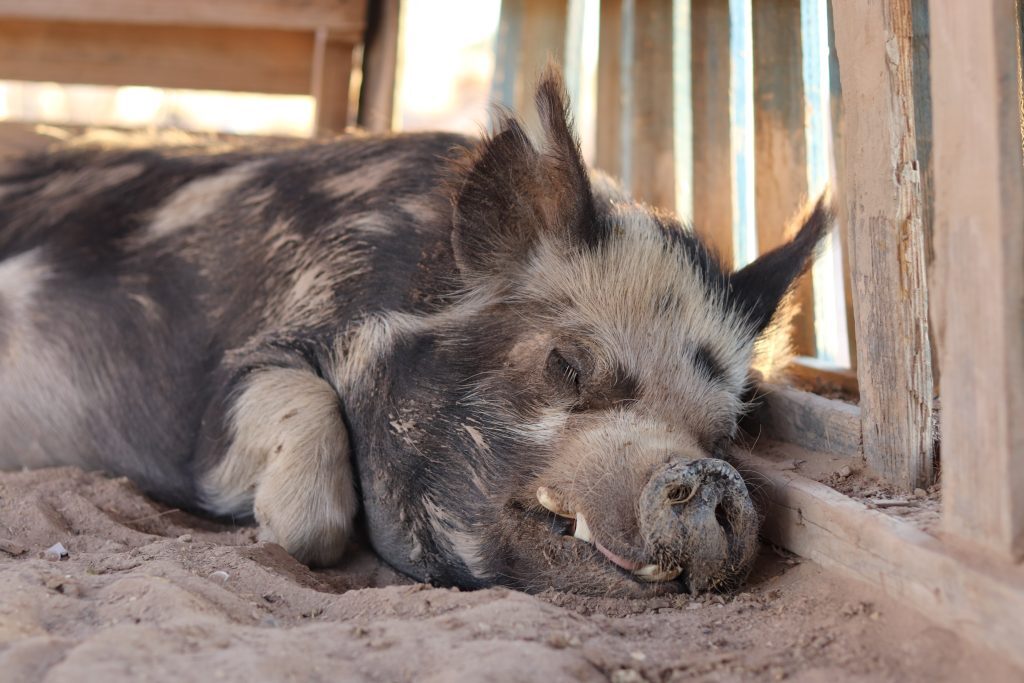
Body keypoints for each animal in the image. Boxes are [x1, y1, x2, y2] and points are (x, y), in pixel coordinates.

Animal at [0, 67, 830, 596]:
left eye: (722, 433)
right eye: (566, 364)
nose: (711, 475)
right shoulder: (225, 369)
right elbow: (307, 418)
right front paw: (276, 535)